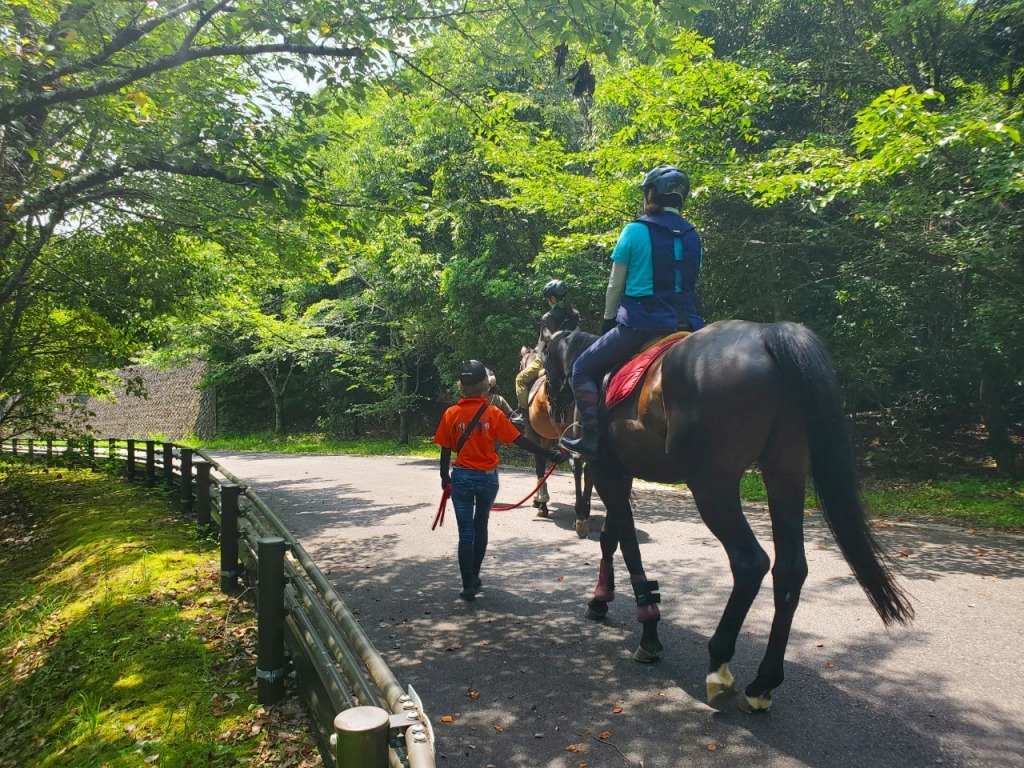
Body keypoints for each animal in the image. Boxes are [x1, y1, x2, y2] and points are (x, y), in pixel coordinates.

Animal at [516, 348, 598, 536]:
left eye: (520, 364)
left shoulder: (533, 434)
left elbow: (539, 464)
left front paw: (541, 502)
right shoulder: (547, 439)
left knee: (577, 466)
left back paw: (580, 516)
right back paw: (585, 511)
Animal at [544, 319, 913, 716]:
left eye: (544, 358)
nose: (551, 403)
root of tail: (766, 334)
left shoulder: (607, 471)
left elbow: (627, 544)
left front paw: (648, 631)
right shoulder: (620, 474)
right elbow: (611, 538)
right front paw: (601, 599)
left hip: (712, 485)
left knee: (750, 562)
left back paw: (720, 663)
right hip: (785, 473)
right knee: (790, 569)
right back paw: (763, 682)